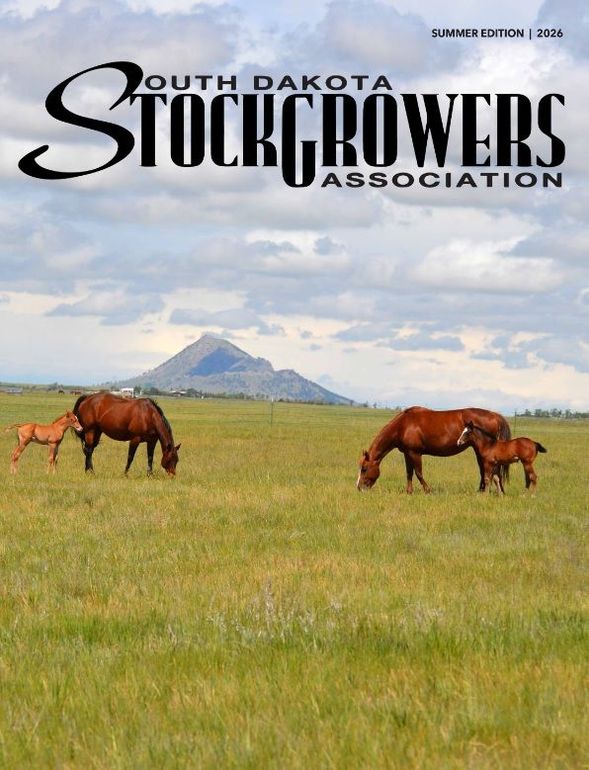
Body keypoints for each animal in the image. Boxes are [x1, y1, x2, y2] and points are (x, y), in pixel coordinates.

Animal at [357, 406, 511, 494]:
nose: (358, 488)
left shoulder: (415, 453)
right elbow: (409, 473)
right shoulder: (407, 453)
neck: (403, 425)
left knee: (488, 470)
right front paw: (409, 491)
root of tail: (495, 415)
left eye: (364, 469)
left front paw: (428, 490)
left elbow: (418, 473)